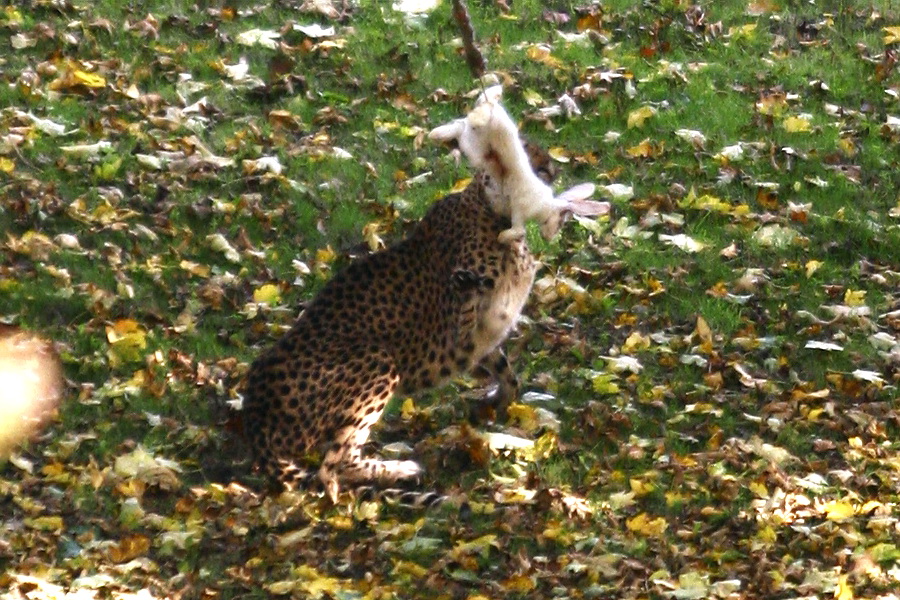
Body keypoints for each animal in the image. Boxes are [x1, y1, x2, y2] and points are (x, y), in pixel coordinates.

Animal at [243, 99, 608, 502]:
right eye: (525, 154)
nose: (549, 169)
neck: (494, 216)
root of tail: (254, 413)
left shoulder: (483, 338)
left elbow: (508, 375)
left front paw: (494, 404)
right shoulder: (456, 330)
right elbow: (470, 309)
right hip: (377, 359)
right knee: (332, 469)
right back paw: (400, 470)